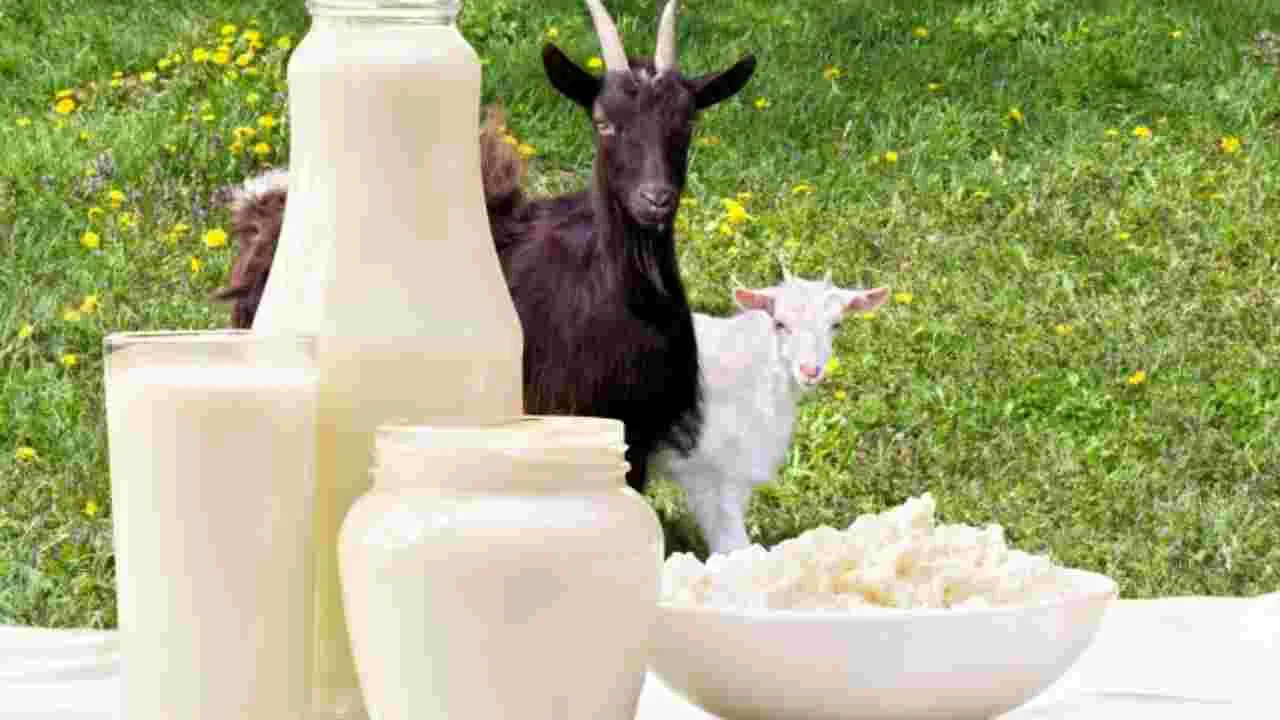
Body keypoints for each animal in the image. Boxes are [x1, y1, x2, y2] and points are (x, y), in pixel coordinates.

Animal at [215, 0, 757, 494]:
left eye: (686, 122)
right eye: (604, 121)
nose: (655, 199)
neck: (625, 298)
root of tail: (263, 205)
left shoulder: (636, 431)